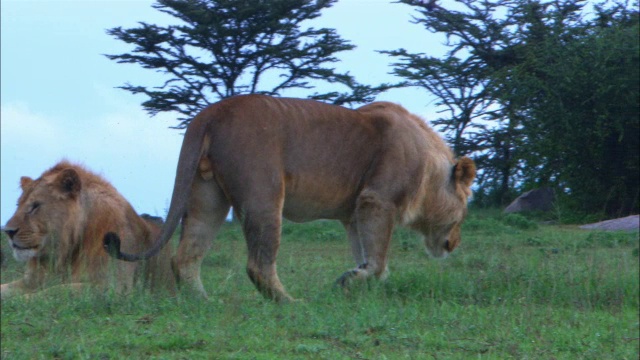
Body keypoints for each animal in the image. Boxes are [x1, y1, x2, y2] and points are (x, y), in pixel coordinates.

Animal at [0, 162, 175, 300]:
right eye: (18, 205)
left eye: (35, 206)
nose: (7, 231)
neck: (65, 252)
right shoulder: (30, 281)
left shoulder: (114, 286)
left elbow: (56, 290)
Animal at [105, 94, 476, 302]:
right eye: (462, 215)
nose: (455, 243)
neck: (429, 164)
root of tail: (212, 112)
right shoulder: (377, 200)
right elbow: (378, 261)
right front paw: (349, 282)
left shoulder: (355, 213)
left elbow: (367, 257)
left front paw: (361, 290)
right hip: (264, 195)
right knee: (258, 264)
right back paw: (290, 303)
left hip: (206, 197)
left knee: (185, 256)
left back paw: (202, 302)